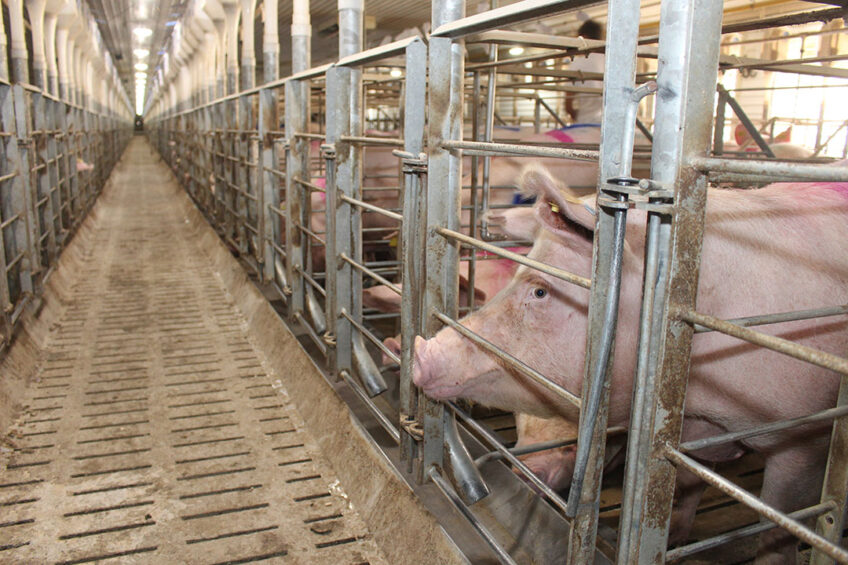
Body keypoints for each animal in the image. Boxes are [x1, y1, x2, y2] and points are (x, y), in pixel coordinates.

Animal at [412, 162, 848, 560]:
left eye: (539, 291)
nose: (421, 351)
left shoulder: (805, 436)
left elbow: (779, 525)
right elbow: (685, 487)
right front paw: (673, 540)